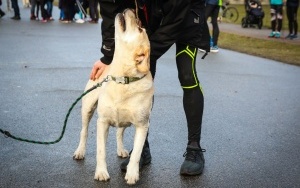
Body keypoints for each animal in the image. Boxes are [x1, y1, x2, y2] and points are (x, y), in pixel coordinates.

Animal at [72, 8, 152, 185]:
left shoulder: (142, 126)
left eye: (140, 29)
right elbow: (101, 151)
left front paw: (132, 174)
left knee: (119, 133)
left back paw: (121, 150)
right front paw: (101, 173)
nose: (129, 9)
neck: (123, 79)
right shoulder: (102, 122)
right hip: (87, 108)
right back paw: (80, 151)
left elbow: (137, 154)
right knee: (83, 132)